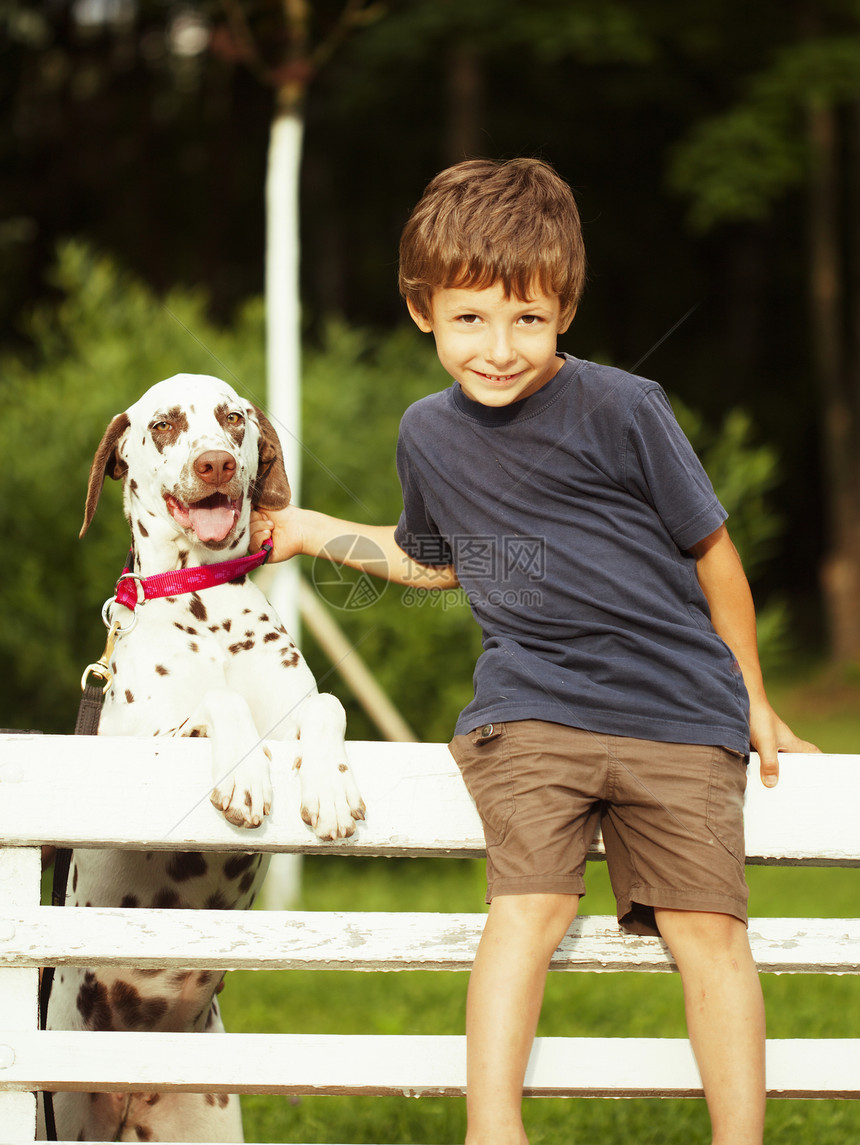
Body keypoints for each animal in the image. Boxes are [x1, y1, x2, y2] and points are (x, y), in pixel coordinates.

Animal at [41, 373, 364, 1135]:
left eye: (232, 417)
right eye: (163, 424)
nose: (214, 462)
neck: (204, 607)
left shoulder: (300, 711)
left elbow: (327, 708)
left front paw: (330, 788)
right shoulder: (144, 746)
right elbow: (220, 705)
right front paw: (244, 777)